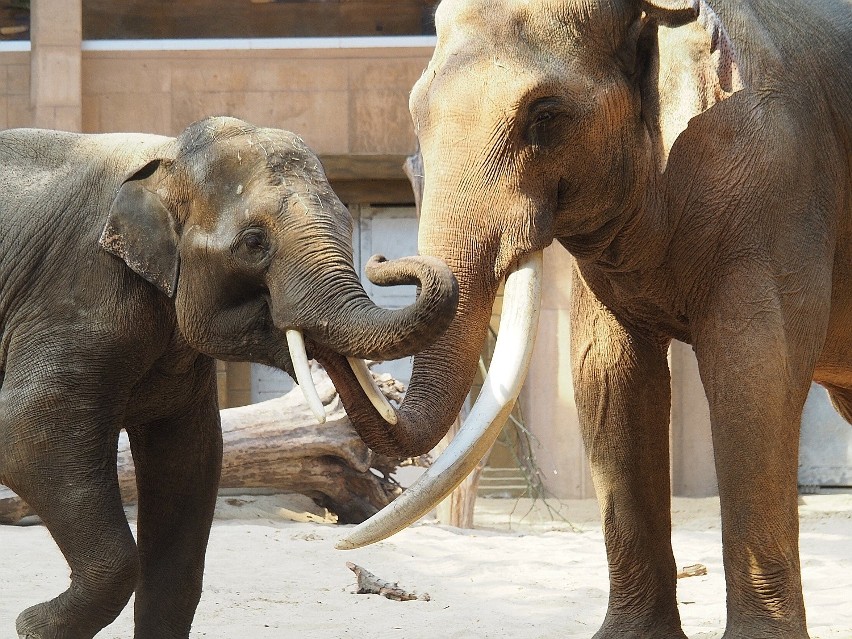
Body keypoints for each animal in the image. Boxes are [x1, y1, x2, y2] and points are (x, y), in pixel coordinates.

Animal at [0, 116, 460, 639]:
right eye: (254, 242)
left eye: (347, 223)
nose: (381, 260)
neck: (167, 157)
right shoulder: (77, 293)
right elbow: (28, 436)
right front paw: (33, 625)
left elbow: (189, 460)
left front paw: (34, 623)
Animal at [336, 1, 852, 639]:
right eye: (414, 111)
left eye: (545, 114)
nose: (381, 261)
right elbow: (609, 374)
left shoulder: (775, 184)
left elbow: (756, 369)